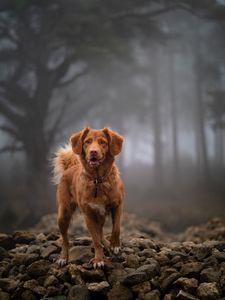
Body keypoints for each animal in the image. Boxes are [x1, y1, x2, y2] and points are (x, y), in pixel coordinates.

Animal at [52, 127, 124, 268]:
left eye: (103, 142)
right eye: (87, 142)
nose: (93, 152)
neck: (98, 180)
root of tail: (70, 168)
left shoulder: (118, 205)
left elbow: (116, 228)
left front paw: (114, 245)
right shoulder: (88, 215)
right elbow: (95, 240)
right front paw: (99, 259)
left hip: (100, 215)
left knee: (101, 231)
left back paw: (107, 244)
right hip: (63, 214)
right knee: (65, 240)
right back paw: (63, 258)